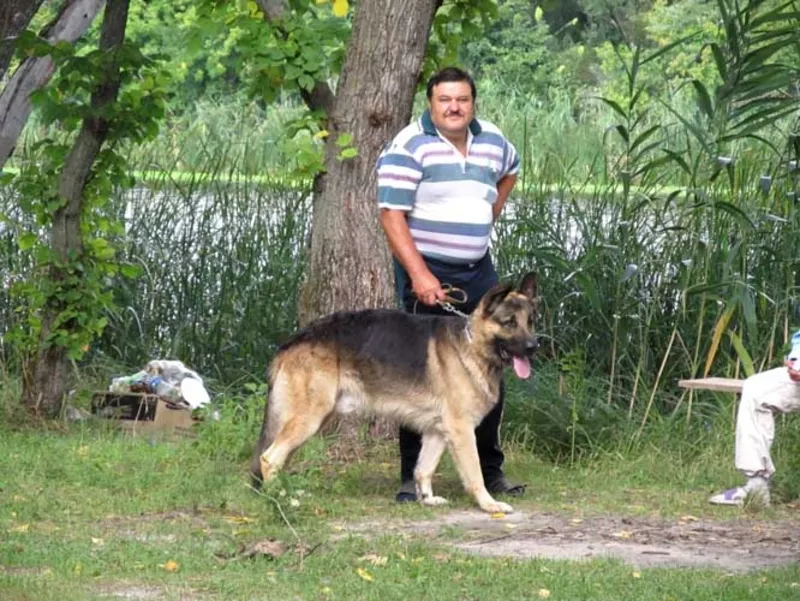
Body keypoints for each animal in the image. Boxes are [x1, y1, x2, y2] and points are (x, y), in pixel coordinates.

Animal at [250, 272, 536, 510]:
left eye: (530, 321)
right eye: (509, 322)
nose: (534, 346)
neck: (472, 344)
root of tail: (292, 341)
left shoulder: (437, 431)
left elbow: (424, 469)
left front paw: (427, 498)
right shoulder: (461, 431)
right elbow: (475, 473)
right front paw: (489, 505)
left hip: (314, 420)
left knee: (280, 458)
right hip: (308, 420)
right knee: (269, 458)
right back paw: (281, 498)